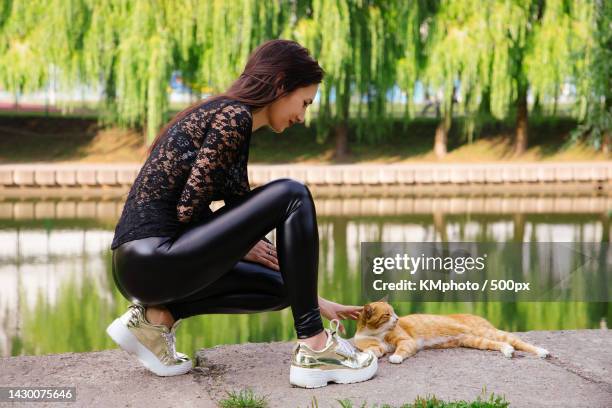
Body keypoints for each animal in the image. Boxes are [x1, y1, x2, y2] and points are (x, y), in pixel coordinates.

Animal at [354, 300, 548, 364]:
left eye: (393, 312)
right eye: (387, 314)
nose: (397, 319)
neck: (375, 332)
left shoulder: (406, 341)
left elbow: (401, 350)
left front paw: (395, 357)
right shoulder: (376, 346)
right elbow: (373, 350)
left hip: (487, 332)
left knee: (518, 342)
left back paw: (542, 351)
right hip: (475, 340)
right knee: (501, 344)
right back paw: (507, 351)